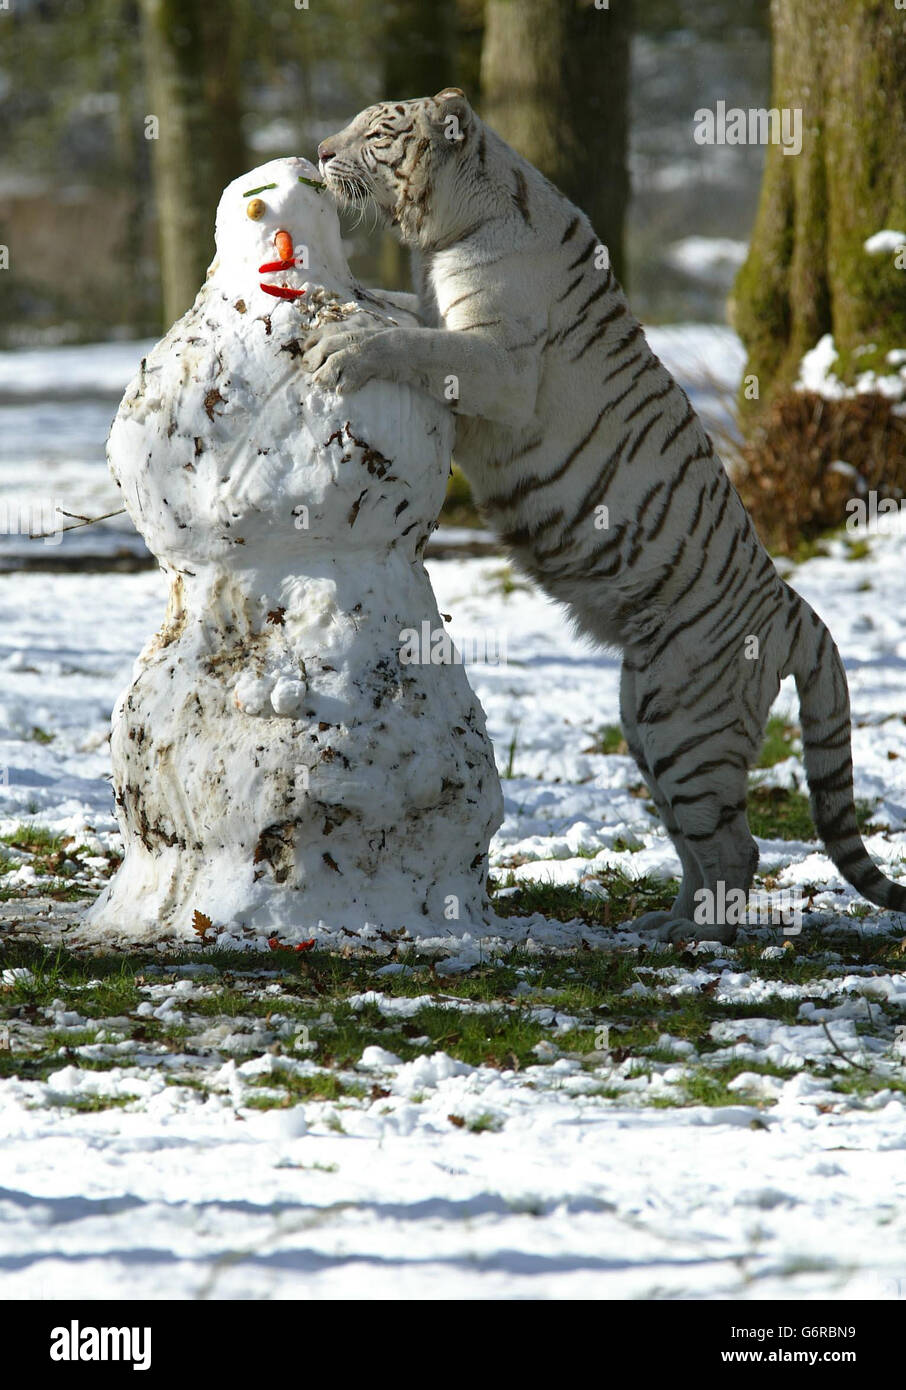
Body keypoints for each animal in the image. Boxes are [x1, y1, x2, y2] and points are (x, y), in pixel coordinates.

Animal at [304, 86, 906, 945]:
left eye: (378, 132)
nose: (320, 150)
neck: (453, 228)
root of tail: (795, 610)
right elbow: (408, 319)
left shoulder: (499, 367)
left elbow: (417, 344)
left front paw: (346, 347)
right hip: (646, 715)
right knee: (702, 844)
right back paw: (661, 924)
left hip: (684, 722)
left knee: (736, 848)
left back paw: (696, 940)